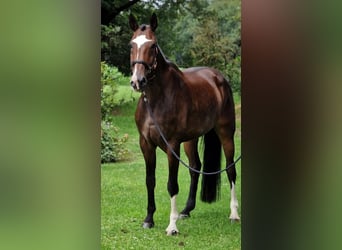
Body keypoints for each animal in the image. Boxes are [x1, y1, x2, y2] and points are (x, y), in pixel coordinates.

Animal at [129, 13, 240, 236]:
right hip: (191, 139)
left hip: (226, 133)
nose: (138, 81)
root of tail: (218, 78)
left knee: (231, 170)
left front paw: (171, 227)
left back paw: (234, 214)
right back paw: (187, 210)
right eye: (131, 44)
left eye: (153, 46)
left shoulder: (172, 145)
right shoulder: (146, 144)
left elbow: (172, 184)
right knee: (195, 167)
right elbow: (150, 180)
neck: (156, 98)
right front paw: (149, 219)